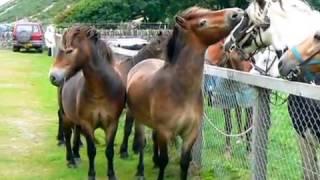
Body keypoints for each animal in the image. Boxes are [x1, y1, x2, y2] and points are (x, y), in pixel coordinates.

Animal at [48, 25, 126, 180]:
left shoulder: (112, 124)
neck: (101, 91)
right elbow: (91, 150)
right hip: (66, 116)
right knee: (68, 134)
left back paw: (76, 154)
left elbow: (109, 151)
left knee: (76, 132)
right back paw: (71, 160)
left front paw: (112, 174)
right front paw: (91, 174)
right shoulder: (87, 124)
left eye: (70, 50)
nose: (52, 77)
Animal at [126, 6, 244, 180]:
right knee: (141, 143)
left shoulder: (190, 134)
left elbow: (184, 162)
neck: (179, 90)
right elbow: (164, 160)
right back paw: (140, 171)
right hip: (139, 120)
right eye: (202, 22)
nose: (237, 12)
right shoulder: (165, 132)